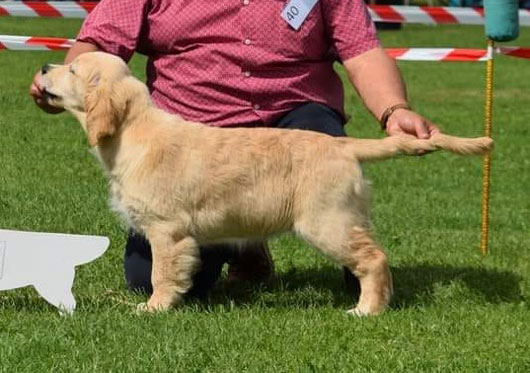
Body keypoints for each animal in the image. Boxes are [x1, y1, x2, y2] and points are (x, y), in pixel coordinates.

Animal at [40, 51, 490, 314]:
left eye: (73, 70)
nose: (43, 67)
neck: (135, 133)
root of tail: (343, 146)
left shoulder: (167, 230)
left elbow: (161, 274)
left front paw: (153, 308)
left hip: (326, 220)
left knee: (374, 259)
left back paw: (367, 309)